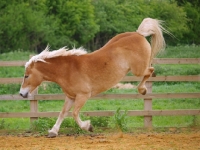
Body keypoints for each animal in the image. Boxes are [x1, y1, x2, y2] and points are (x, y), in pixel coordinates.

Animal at [19, 17, 168, 137]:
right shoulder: (71, 97)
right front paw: (53, 132)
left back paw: (143, 90)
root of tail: (138, 34)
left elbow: (74, 114)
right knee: (150, 71)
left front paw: (88, 127)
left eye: (26, 76)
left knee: (150, 71)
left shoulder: (83, 96)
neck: (67, 70)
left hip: (138, 70)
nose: (21, 94)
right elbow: (63, 112)